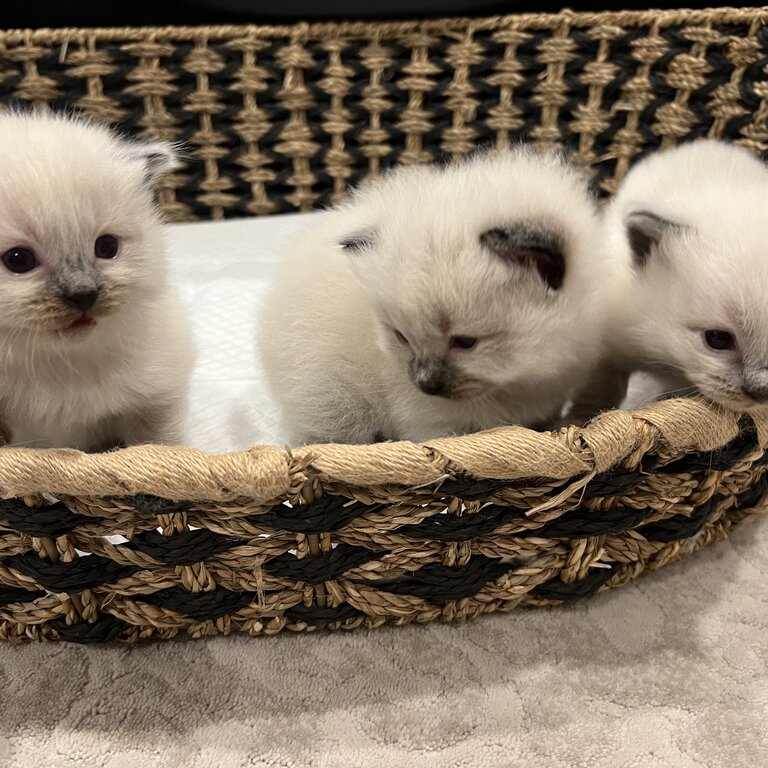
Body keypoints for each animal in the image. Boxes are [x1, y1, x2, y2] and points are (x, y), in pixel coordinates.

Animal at [0, 108, 195, 450]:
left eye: (106, 247)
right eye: (18, 260)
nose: (83, 295)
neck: (60, 363)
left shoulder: (155, 398)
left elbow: (158, 445)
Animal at [258, 146, 612, 444]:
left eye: (465, 342)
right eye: (402, 337)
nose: (425, 383)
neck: (514, 383)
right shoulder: (429, 421)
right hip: (334, 399)